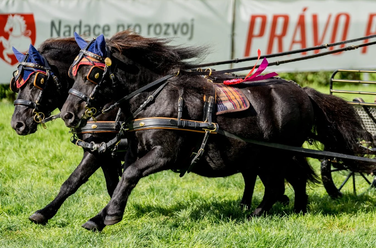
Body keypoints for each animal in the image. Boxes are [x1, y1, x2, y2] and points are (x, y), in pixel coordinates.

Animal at [9, 37, 124, 226]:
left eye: (37, 82)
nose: (16, 124)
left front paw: (43, 213)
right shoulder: (104, 153)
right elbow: (112, 186)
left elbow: (73, 181)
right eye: (17, 84)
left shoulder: (98, 148)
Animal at [60, 31, 372, 231]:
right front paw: (97, 219)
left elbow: (129, 175)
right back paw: (295, 209)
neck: (155, 98)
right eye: (73, 71)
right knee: (289, 181)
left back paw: (257, 213)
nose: (68, 114)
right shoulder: (133, 151)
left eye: (93, 73)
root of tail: (304, 92)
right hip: (267, 156)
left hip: (275, 155)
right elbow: (120, 180)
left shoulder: (165, 155)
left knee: (278, 185)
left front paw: (111, 215)